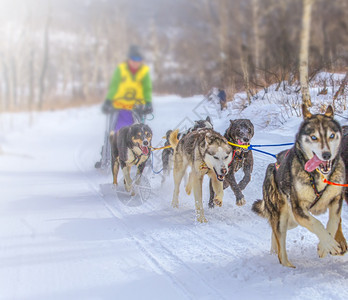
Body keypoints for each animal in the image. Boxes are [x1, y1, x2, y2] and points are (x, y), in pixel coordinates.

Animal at [251, 105, 346, 268]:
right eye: (314, 137)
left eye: (332, 136)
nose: (326, 155)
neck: (318, 175)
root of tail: (273, 165)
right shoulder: (298, 209)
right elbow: (317, 223)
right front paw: (328, 244)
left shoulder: (336, 199)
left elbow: (333, 222)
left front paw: (325, 246)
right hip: (282, 217)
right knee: (281, 248)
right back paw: (288, 266)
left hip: (291, 221)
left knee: (274, 234)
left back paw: (273, 249)